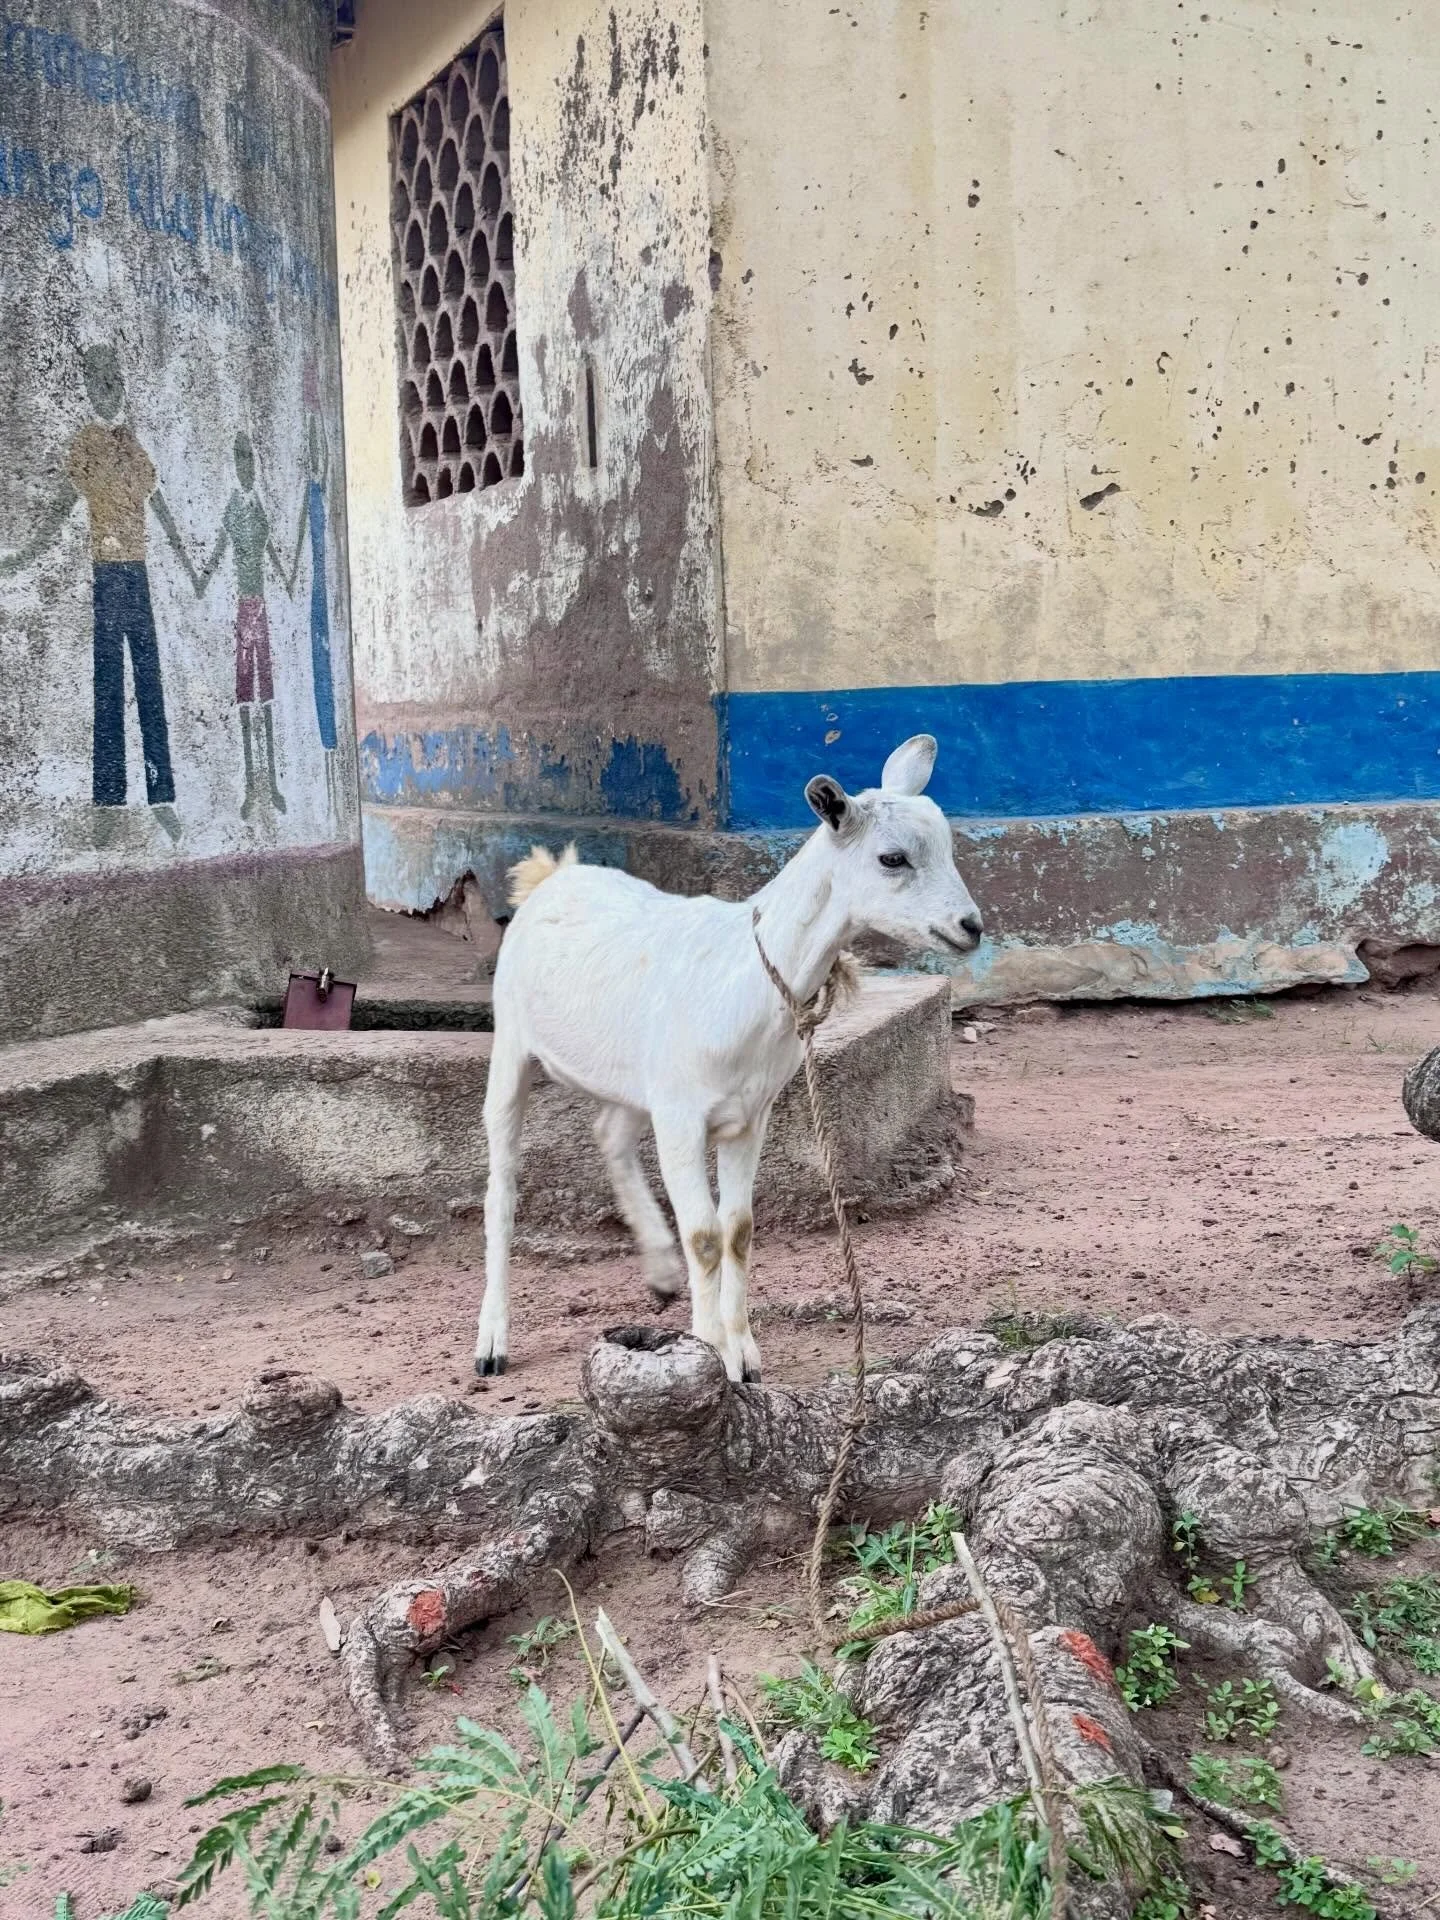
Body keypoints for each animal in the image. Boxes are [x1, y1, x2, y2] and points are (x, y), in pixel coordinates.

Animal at [475, 733, 982, 1384]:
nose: (970, 926)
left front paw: (744, 1355)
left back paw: (661, 1272)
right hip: (512, 1042)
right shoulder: (682, 1116)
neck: (746, 976)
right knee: (502, 1188)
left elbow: (738, 1230)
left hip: (636, 1081)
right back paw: (492, 1342)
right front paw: (709, 1349)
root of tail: (552, 875)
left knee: (609, 1131)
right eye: (892, 859)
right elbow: (704, 1235)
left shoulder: (748, 1114)